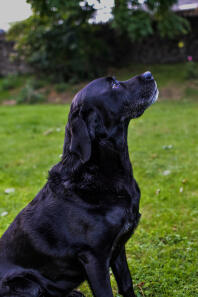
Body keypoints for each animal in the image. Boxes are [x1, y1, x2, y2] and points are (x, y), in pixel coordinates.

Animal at [0, 70, 158, 294]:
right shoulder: (94, 257)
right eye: (114, 85)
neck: (96, 173)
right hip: (25, 283)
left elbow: (126, 284)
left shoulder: (118, 247)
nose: (149, 74)